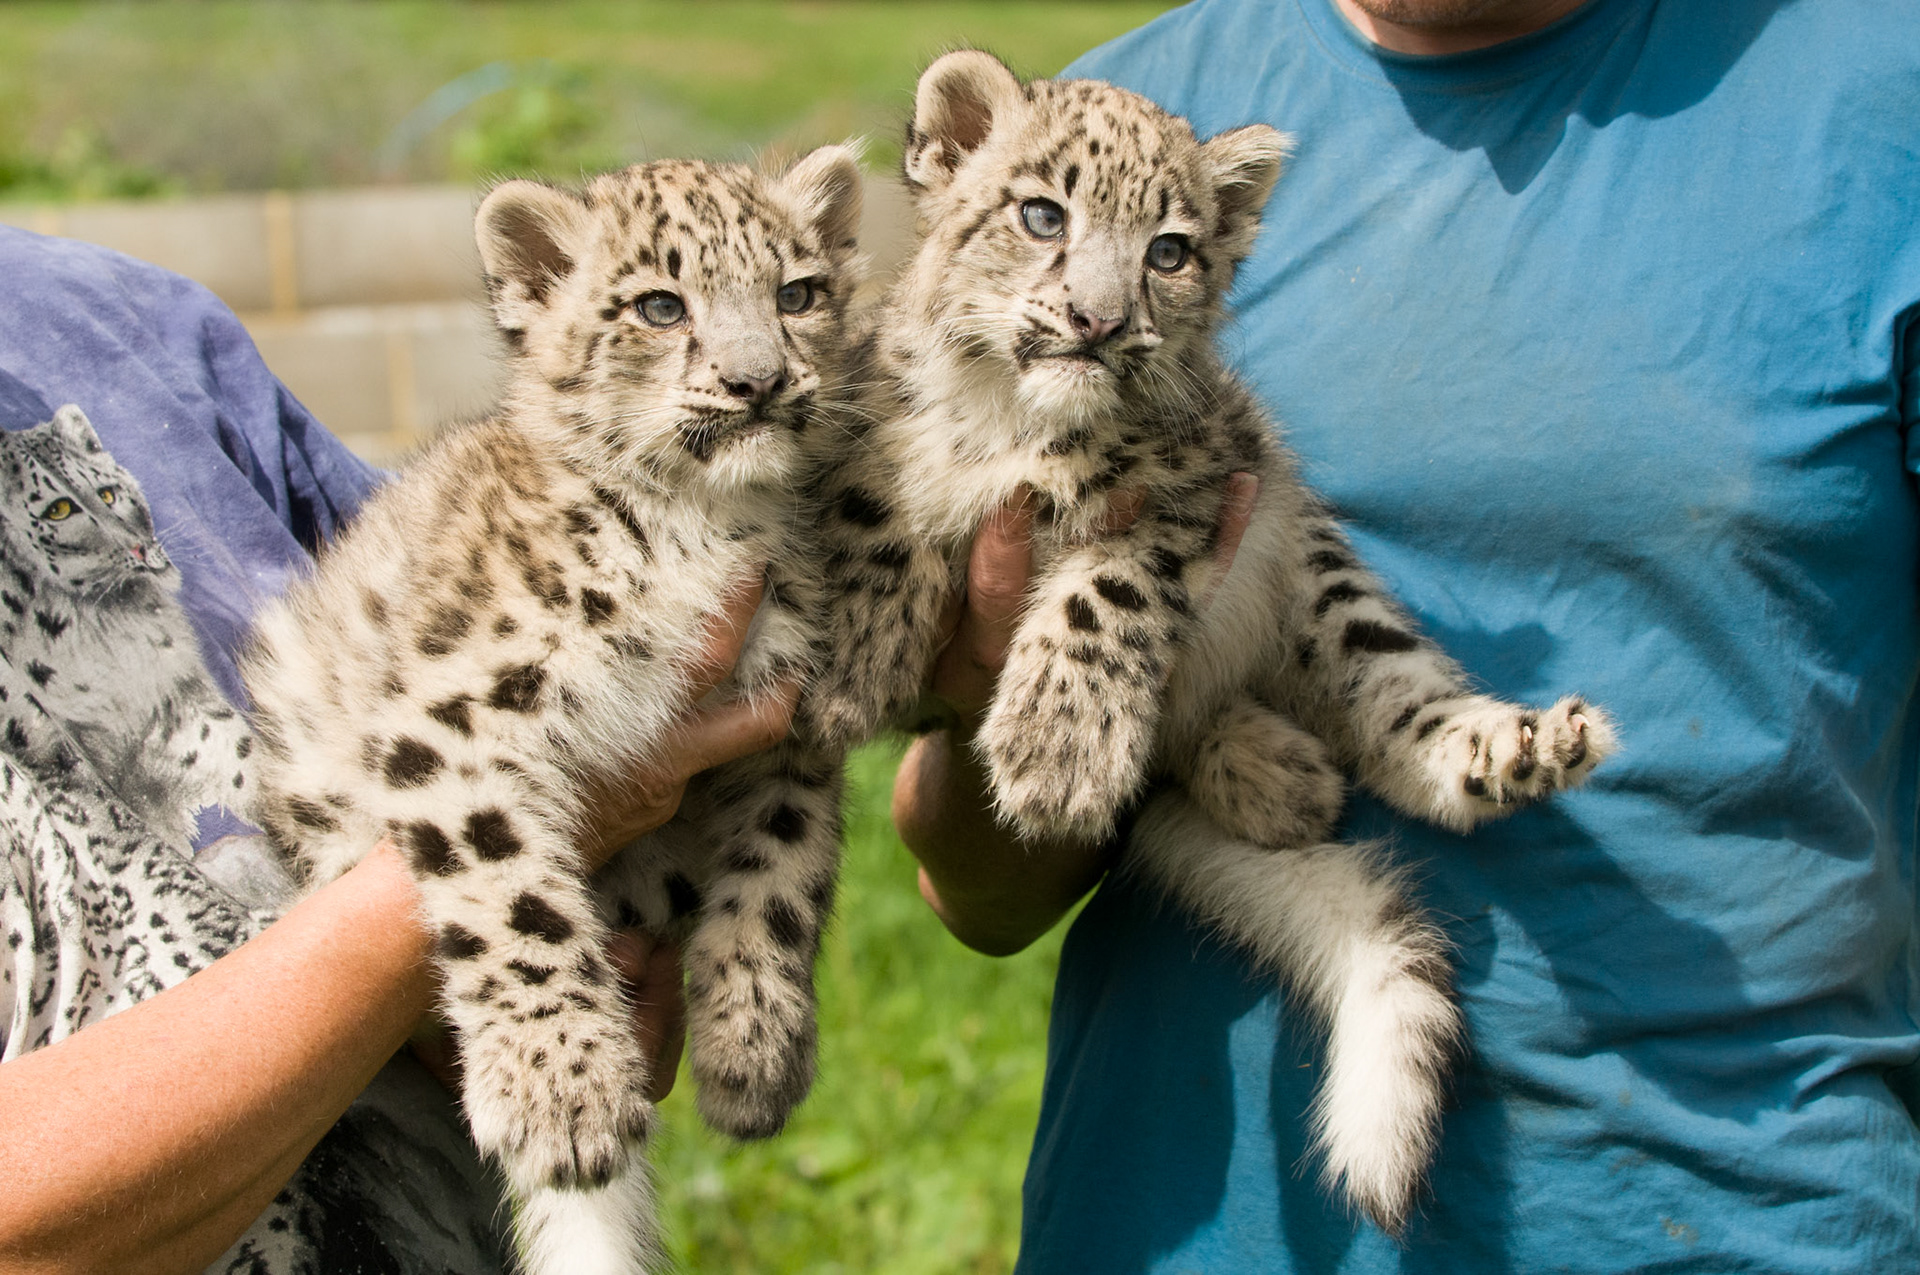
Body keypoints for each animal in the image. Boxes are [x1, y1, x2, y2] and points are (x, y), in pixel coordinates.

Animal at [239, 146, 867, 1275]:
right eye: (660, 305)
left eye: (799, 294)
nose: (758, 380)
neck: (712, 528)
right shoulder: (461, 718)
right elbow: (509, 892)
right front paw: (562, 1096)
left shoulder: (791, 726)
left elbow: (782, 873)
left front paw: (755, 1046)